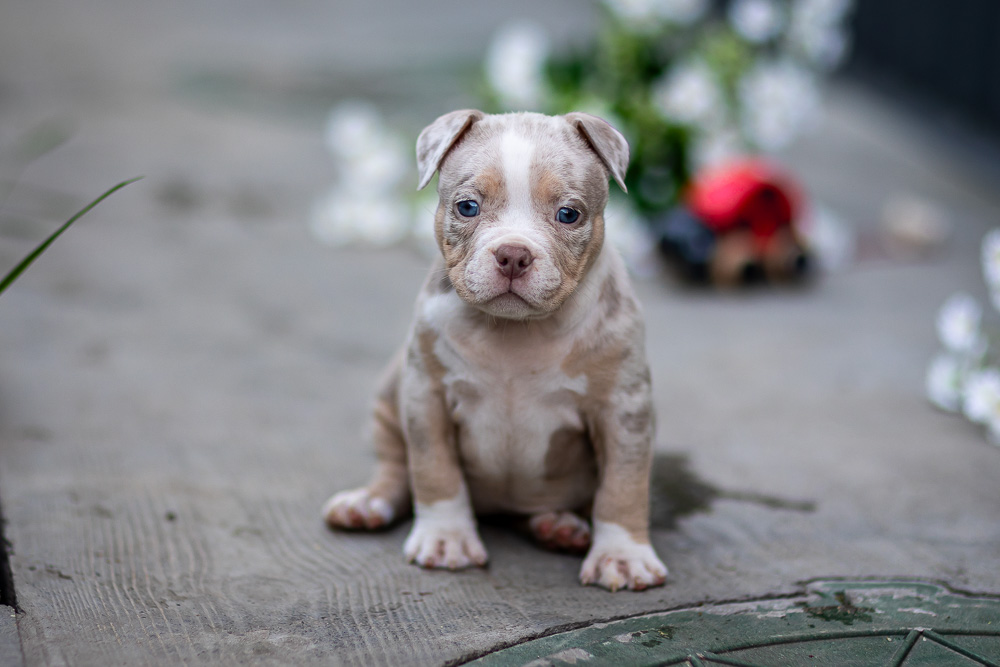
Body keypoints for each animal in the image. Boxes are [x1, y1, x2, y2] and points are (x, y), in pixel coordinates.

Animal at [322, 110, 667, 591]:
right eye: (467, 207)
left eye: (569, 214)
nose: (513, 254)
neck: (515, 332)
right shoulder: (426, 395)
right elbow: (434, 470)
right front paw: (447, 539)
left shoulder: (623, 410)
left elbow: (623, 486)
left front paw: (622, 556)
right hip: (388, 400)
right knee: (394, 465)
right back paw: (368, 503)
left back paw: (559, 524)